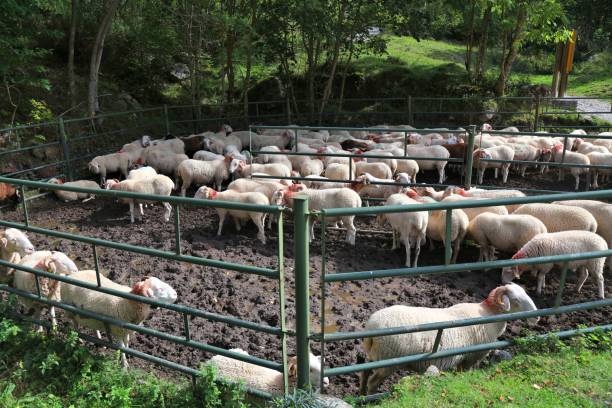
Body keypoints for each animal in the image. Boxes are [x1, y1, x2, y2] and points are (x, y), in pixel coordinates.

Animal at [360, 282, 536, 394]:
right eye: (516, 300)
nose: (537, 317)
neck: (489, 315)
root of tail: (372, 326)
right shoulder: (472, 357)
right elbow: (465, 372)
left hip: (375, 355)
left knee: (364, 373)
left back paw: (362, 395)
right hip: (389, 360)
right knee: (373, 382)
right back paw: (372, 398)